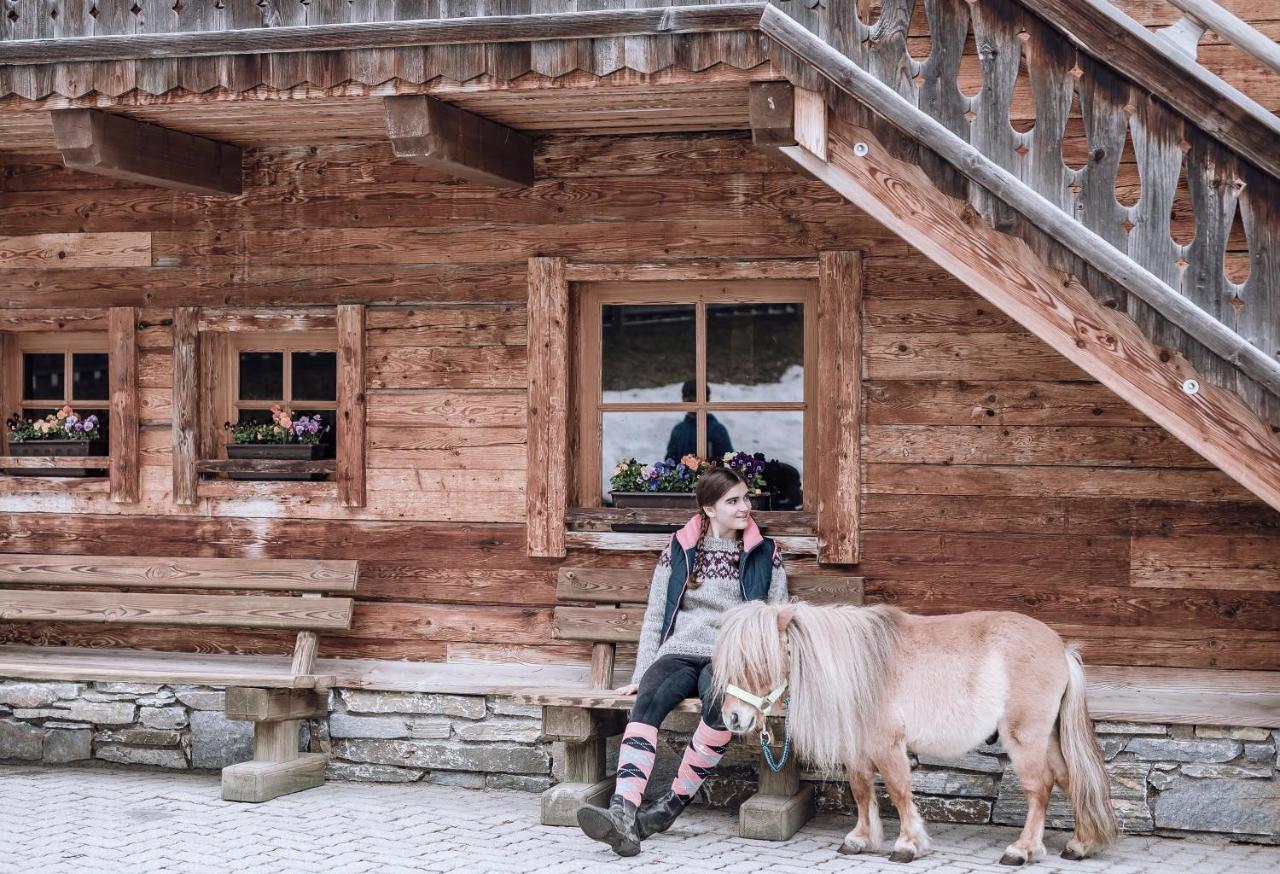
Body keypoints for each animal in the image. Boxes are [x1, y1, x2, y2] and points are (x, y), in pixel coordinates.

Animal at [716, 603, 1116, 865]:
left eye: (759, 660)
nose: (733, 718)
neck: (864, 669)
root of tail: (1062, 651)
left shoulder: (887, 746)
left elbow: (897, 790)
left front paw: (907, 845)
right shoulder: (858, 750)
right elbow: (861, 790)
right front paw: (861, 839)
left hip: (1025, 740)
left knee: (1040, 788)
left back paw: (1022, 850)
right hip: (1047, 739)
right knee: (1070, 780)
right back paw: (1080, 845)